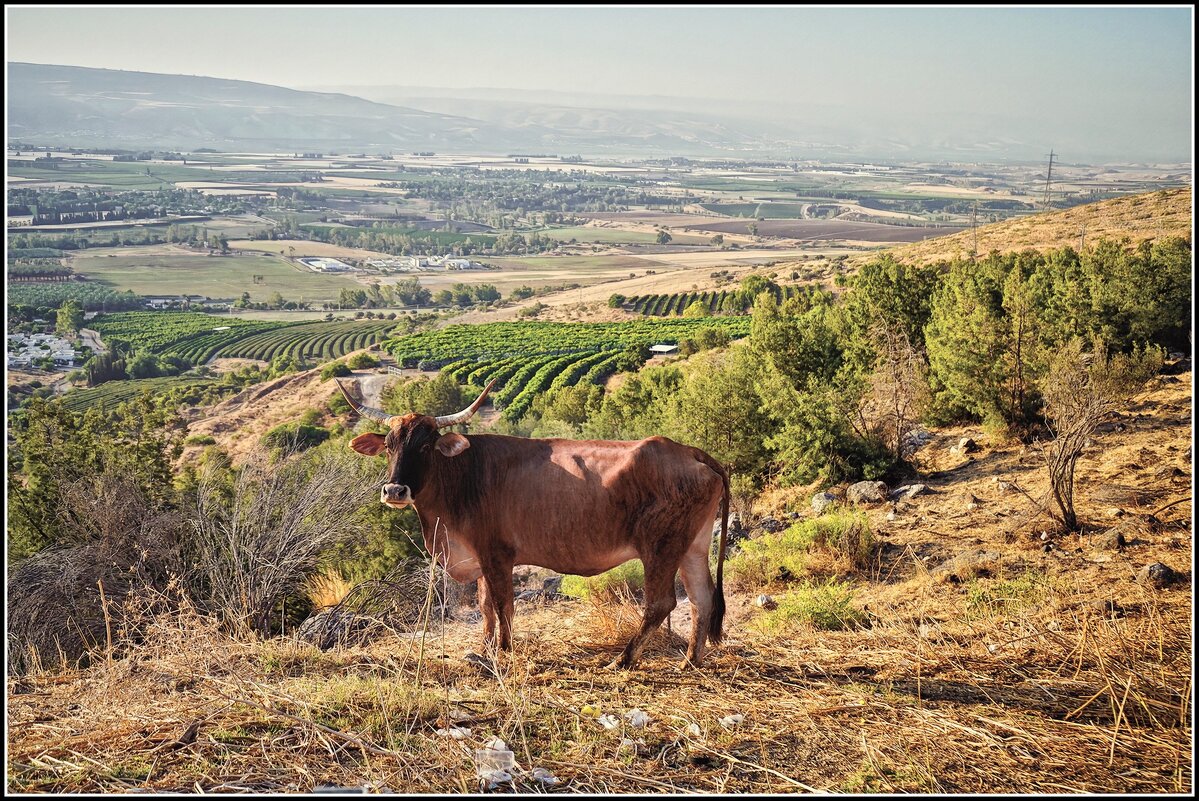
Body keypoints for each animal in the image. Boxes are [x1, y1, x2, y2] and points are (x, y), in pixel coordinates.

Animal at [340, 378, 728, 666]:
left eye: (424, 446)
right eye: (389, 446)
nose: (394, 490)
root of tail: (686, 450)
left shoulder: (496, 555)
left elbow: (503, 605)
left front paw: (503, 652)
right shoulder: (481, 558)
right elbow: (485, 606)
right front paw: (483, 650)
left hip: (661, 547)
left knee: (661, 602)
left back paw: (623, 659)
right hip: (693, 547)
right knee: (701, 598)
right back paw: (690, 661)